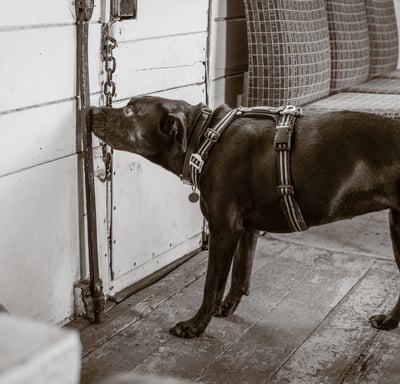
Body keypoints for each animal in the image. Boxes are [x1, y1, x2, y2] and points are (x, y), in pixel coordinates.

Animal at [91, 95, 400, 336]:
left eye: (130, 110)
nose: (90, 111)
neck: (204, 137)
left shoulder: (223, 228)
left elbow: (212, 285)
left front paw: (195, 326)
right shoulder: (246, 228)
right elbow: (240, 275)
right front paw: (225, 308)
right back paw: (389, 322)